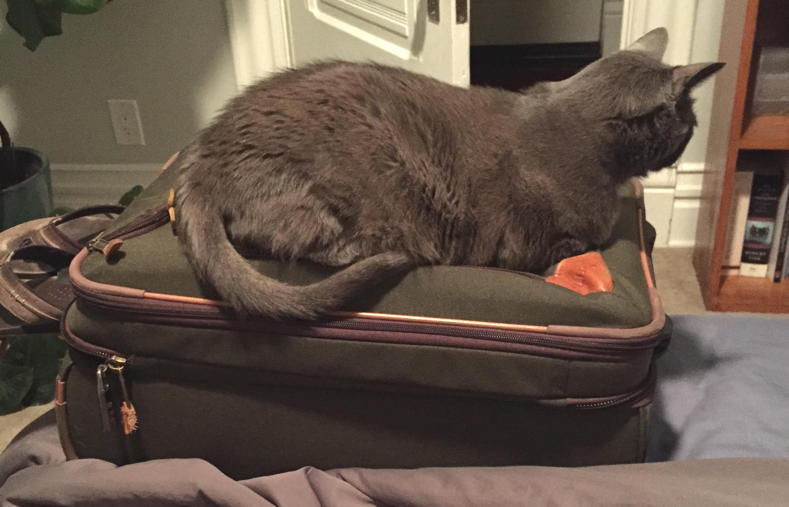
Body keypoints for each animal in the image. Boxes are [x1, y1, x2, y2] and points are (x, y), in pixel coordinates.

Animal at [175, 27, 724, 320]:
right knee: (279, 238)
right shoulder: (530, 245)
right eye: (688, 125)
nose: (691, 138)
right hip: (339, 194)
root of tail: (203, 158)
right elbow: (568, 248)